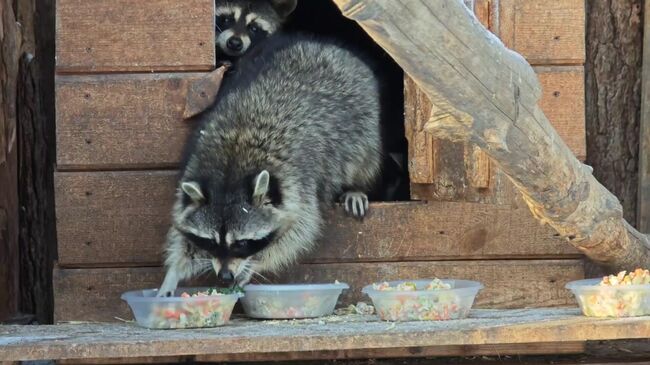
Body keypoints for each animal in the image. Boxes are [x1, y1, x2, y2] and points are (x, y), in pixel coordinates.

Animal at [157, 34, 380, 294]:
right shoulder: (195, 159)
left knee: (364, 157)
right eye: (210, 242)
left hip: (364, 122)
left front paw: (255, 264)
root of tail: (325, 45)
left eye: (243, 243)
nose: (225, 276)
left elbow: (299, 232)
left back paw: (357, 186)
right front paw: (174, 270)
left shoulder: (298, 185)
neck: (231, 166)